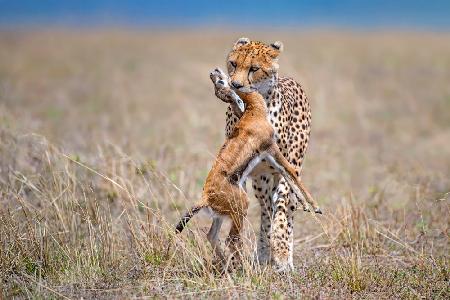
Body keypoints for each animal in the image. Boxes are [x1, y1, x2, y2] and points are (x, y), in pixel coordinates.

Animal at [174, 68, 318, 272]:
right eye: (220, 83)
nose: (213, 71)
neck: (253, 111)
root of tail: (206, 197)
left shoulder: (268, 155)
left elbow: (287, 176)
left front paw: (305, 204)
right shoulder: (271, 148)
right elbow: (292, 172)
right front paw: (316, 207)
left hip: (223, 214)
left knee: (212, 235)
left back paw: (227, 266)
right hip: (241, 208)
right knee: (231, 239)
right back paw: (241, 267)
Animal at [221, 37, 312, 272]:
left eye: (254, 69)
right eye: (233, 64)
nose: (235, 85)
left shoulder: (285, 167)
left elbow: (281, 211)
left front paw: (281, 253)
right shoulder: (239, 170)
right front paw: (236, 258)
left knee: (285, 208)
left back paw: (284, 255)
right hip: (261, 180)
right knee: (265, 210)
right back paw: (263, 252)